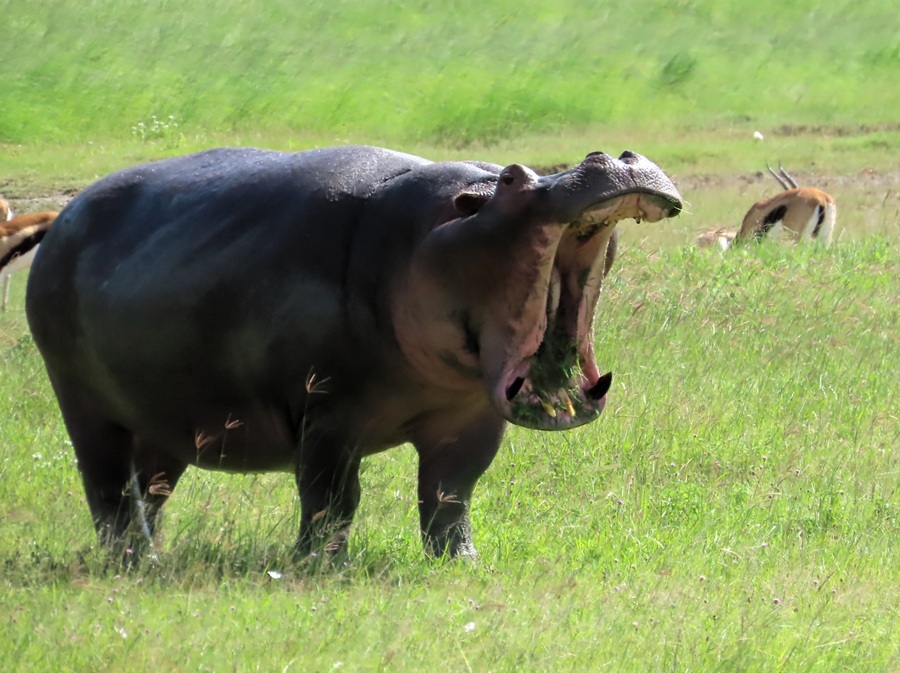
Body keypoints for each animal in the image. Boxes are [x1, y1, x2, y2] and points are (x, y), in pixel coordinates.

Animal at [25, 145, 681, 558]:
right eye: (515, 179)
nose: (611, 157)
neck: (425, 235)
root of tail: (61, 218)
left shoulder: (467, 416)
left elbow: (451, 493)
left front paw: (461, 562)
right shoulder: (329, 413)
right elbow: (333, 496)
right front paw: (321, 567)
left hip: (166, 420)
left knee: (151, 488)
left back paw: (155, 555)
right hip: (84, 405)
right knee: (109, 488)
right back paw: (139, 563)